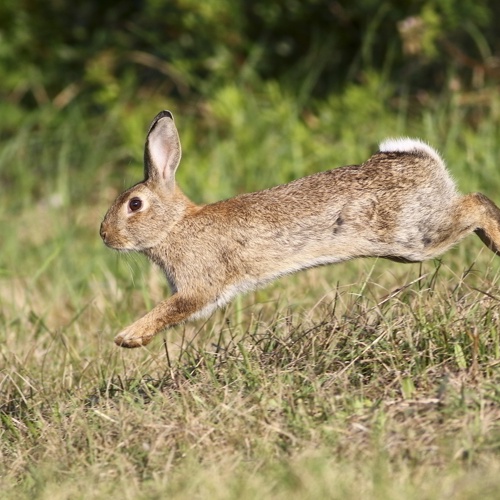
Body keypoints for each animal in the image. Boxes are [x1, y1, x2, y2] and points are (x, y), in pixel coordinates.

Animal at [100, 109, 500, 348]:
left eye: (134, 205)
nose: (104, 236)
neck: (174, 225)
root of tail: (423, 161)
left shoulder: (199, 285)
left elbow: (172, 308)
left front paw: (127, 337)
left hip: (414, 235)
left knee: (477, 203)